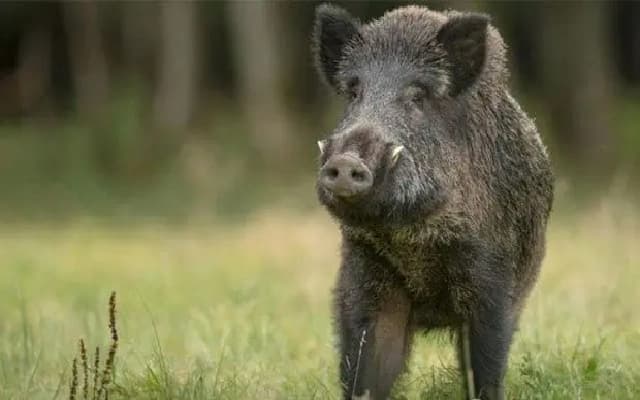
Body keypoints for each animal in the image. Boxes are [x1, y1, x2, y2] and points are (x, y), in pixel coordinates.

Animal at [312, 4, 554, 400]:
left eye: (417, 96)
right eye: (355, 92)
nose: (346, 161)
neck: (413, 237)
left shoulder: (491, 275)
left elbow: (484, 364)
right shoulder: (365, 270)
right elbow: (368, 362)